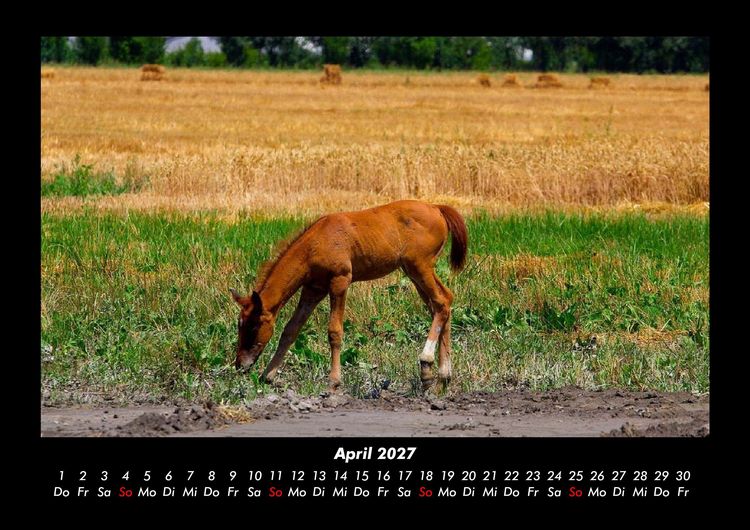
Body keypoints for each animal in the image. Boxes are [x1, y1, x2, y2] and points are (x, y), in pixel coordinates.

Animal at [230, 199, 468, 393]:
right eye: (239, 326)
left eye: (253, 327)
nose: (240, 364)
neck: (315, 243)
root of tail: (436, 207)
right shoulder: (312, 289)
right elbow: (290, 330)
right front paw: (267, 376)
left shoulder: (340, 281)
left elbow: (334, 332)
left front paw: (334, 382)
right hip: (413, 272)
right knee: (442, 303)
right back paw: (442, 377)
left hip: (420, 266)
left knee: (441, 302)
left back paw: (426, 364)